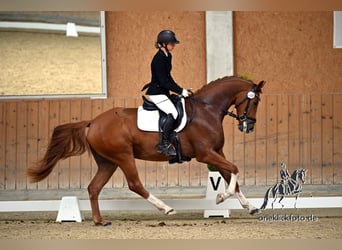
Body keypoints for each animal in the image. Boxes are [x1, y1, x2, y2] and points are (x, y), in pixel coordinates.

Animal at [28, 75, 266, 225]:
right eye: (254, 102)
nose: (248, 126)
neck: (207, 110)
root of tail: (92, 122)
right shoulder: (205, 154)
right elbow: (234, 170)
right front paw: (221, 197)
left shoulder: (217, 152)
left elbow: (231, 174)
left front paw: (250, 207)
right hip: (123, 157)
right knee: (135, 184)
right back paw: (166, 208)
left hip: (108, 162)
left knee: (94, 188)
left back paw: (100, 221)